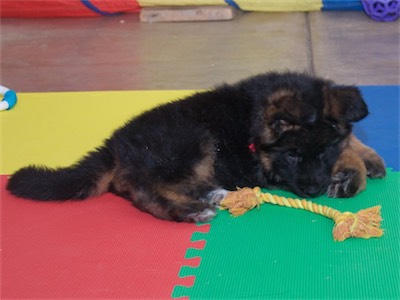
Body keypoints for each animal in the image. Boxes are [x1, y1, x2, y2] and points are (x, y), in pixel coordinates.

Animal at [6, 72, 386, 223]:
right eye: (291, 155)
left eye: (321, 154)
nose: (313, 191)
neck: (254, 117)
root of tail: (115, 144)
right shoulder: (269, 170)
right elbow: (347, 145)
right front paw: (353, 171)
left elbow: (349, 137)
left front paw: (365, 159)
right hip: (193, 138)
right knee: (142, 188)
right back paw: (189, 210)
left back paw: (209, 194)